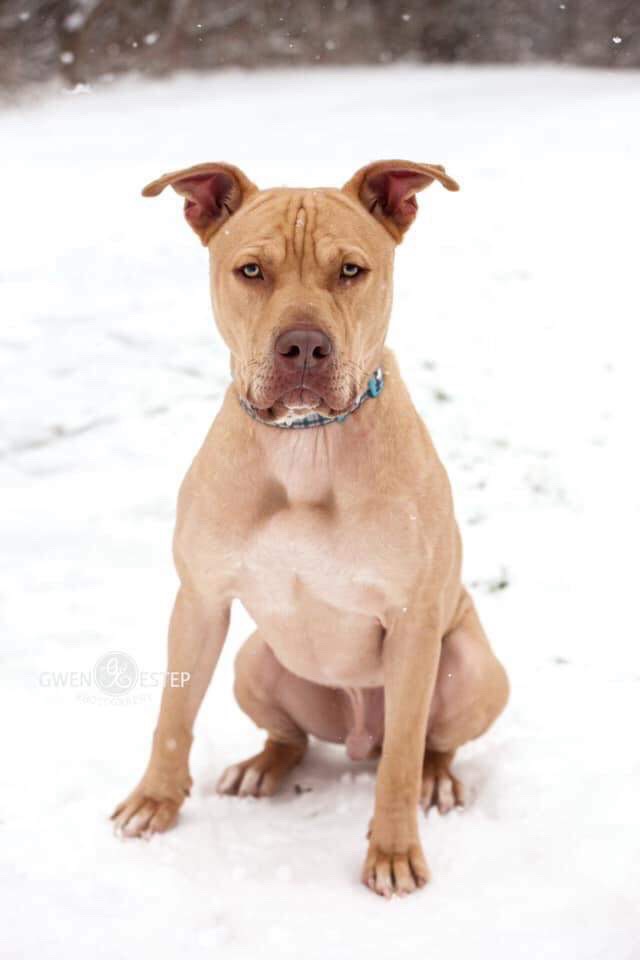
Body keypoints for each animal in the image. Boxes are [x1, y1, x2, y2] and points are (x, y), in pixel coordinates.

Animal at [111, 159, 510, 900]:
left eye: (351, 270)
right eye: (251, 270)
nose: (302, 344)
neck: (304, 446)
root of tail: (355, 737)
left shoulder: (412, 622)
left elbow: (402, 758)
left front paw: (393, 851)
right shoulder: (200, 601)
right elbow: (173, 718)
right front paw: (155, 800)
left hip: (471, 666)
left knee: (425, 745)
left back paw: (437, 779)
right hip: (252, 662)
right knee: (293, 739)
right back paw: (261, 766)